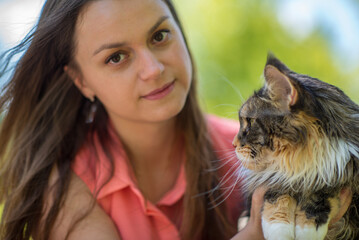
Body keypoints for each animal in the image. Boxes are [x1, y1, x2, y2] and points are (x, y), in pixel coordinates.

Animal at [233, 54, 359, 240]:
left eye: (249, 123)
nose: (233, 143)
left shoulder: (335, 175)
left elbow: (319, 196)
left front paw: (307, 230)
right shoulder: (277, 179)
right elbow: (278, 196)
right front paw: (278, 230)